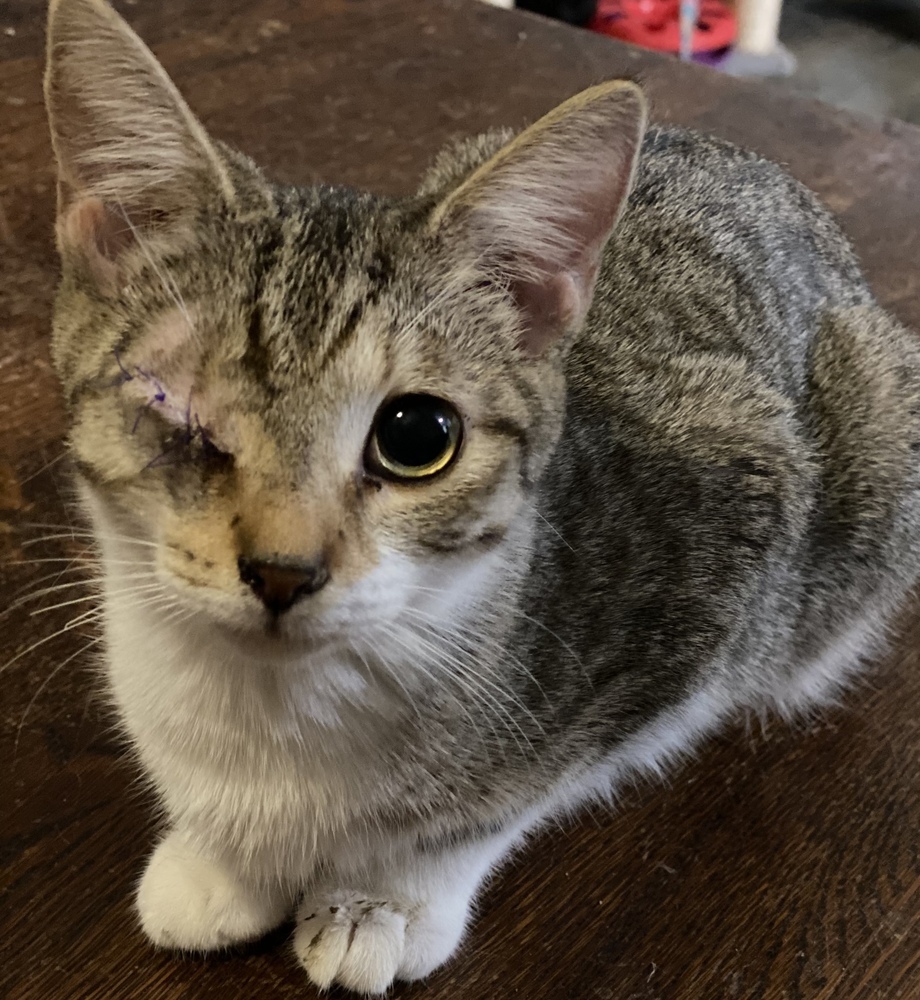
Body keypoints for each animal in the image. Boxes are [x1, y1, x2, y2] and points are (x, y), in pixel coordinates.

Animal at [45, 0, 920, 992]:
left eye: (417, 435)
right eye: (169, 400)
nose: (282, 570)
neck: (272, 709)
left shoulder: (721, 548)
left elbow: (487, 809)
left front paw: (380, 901)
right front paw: (222, 861)